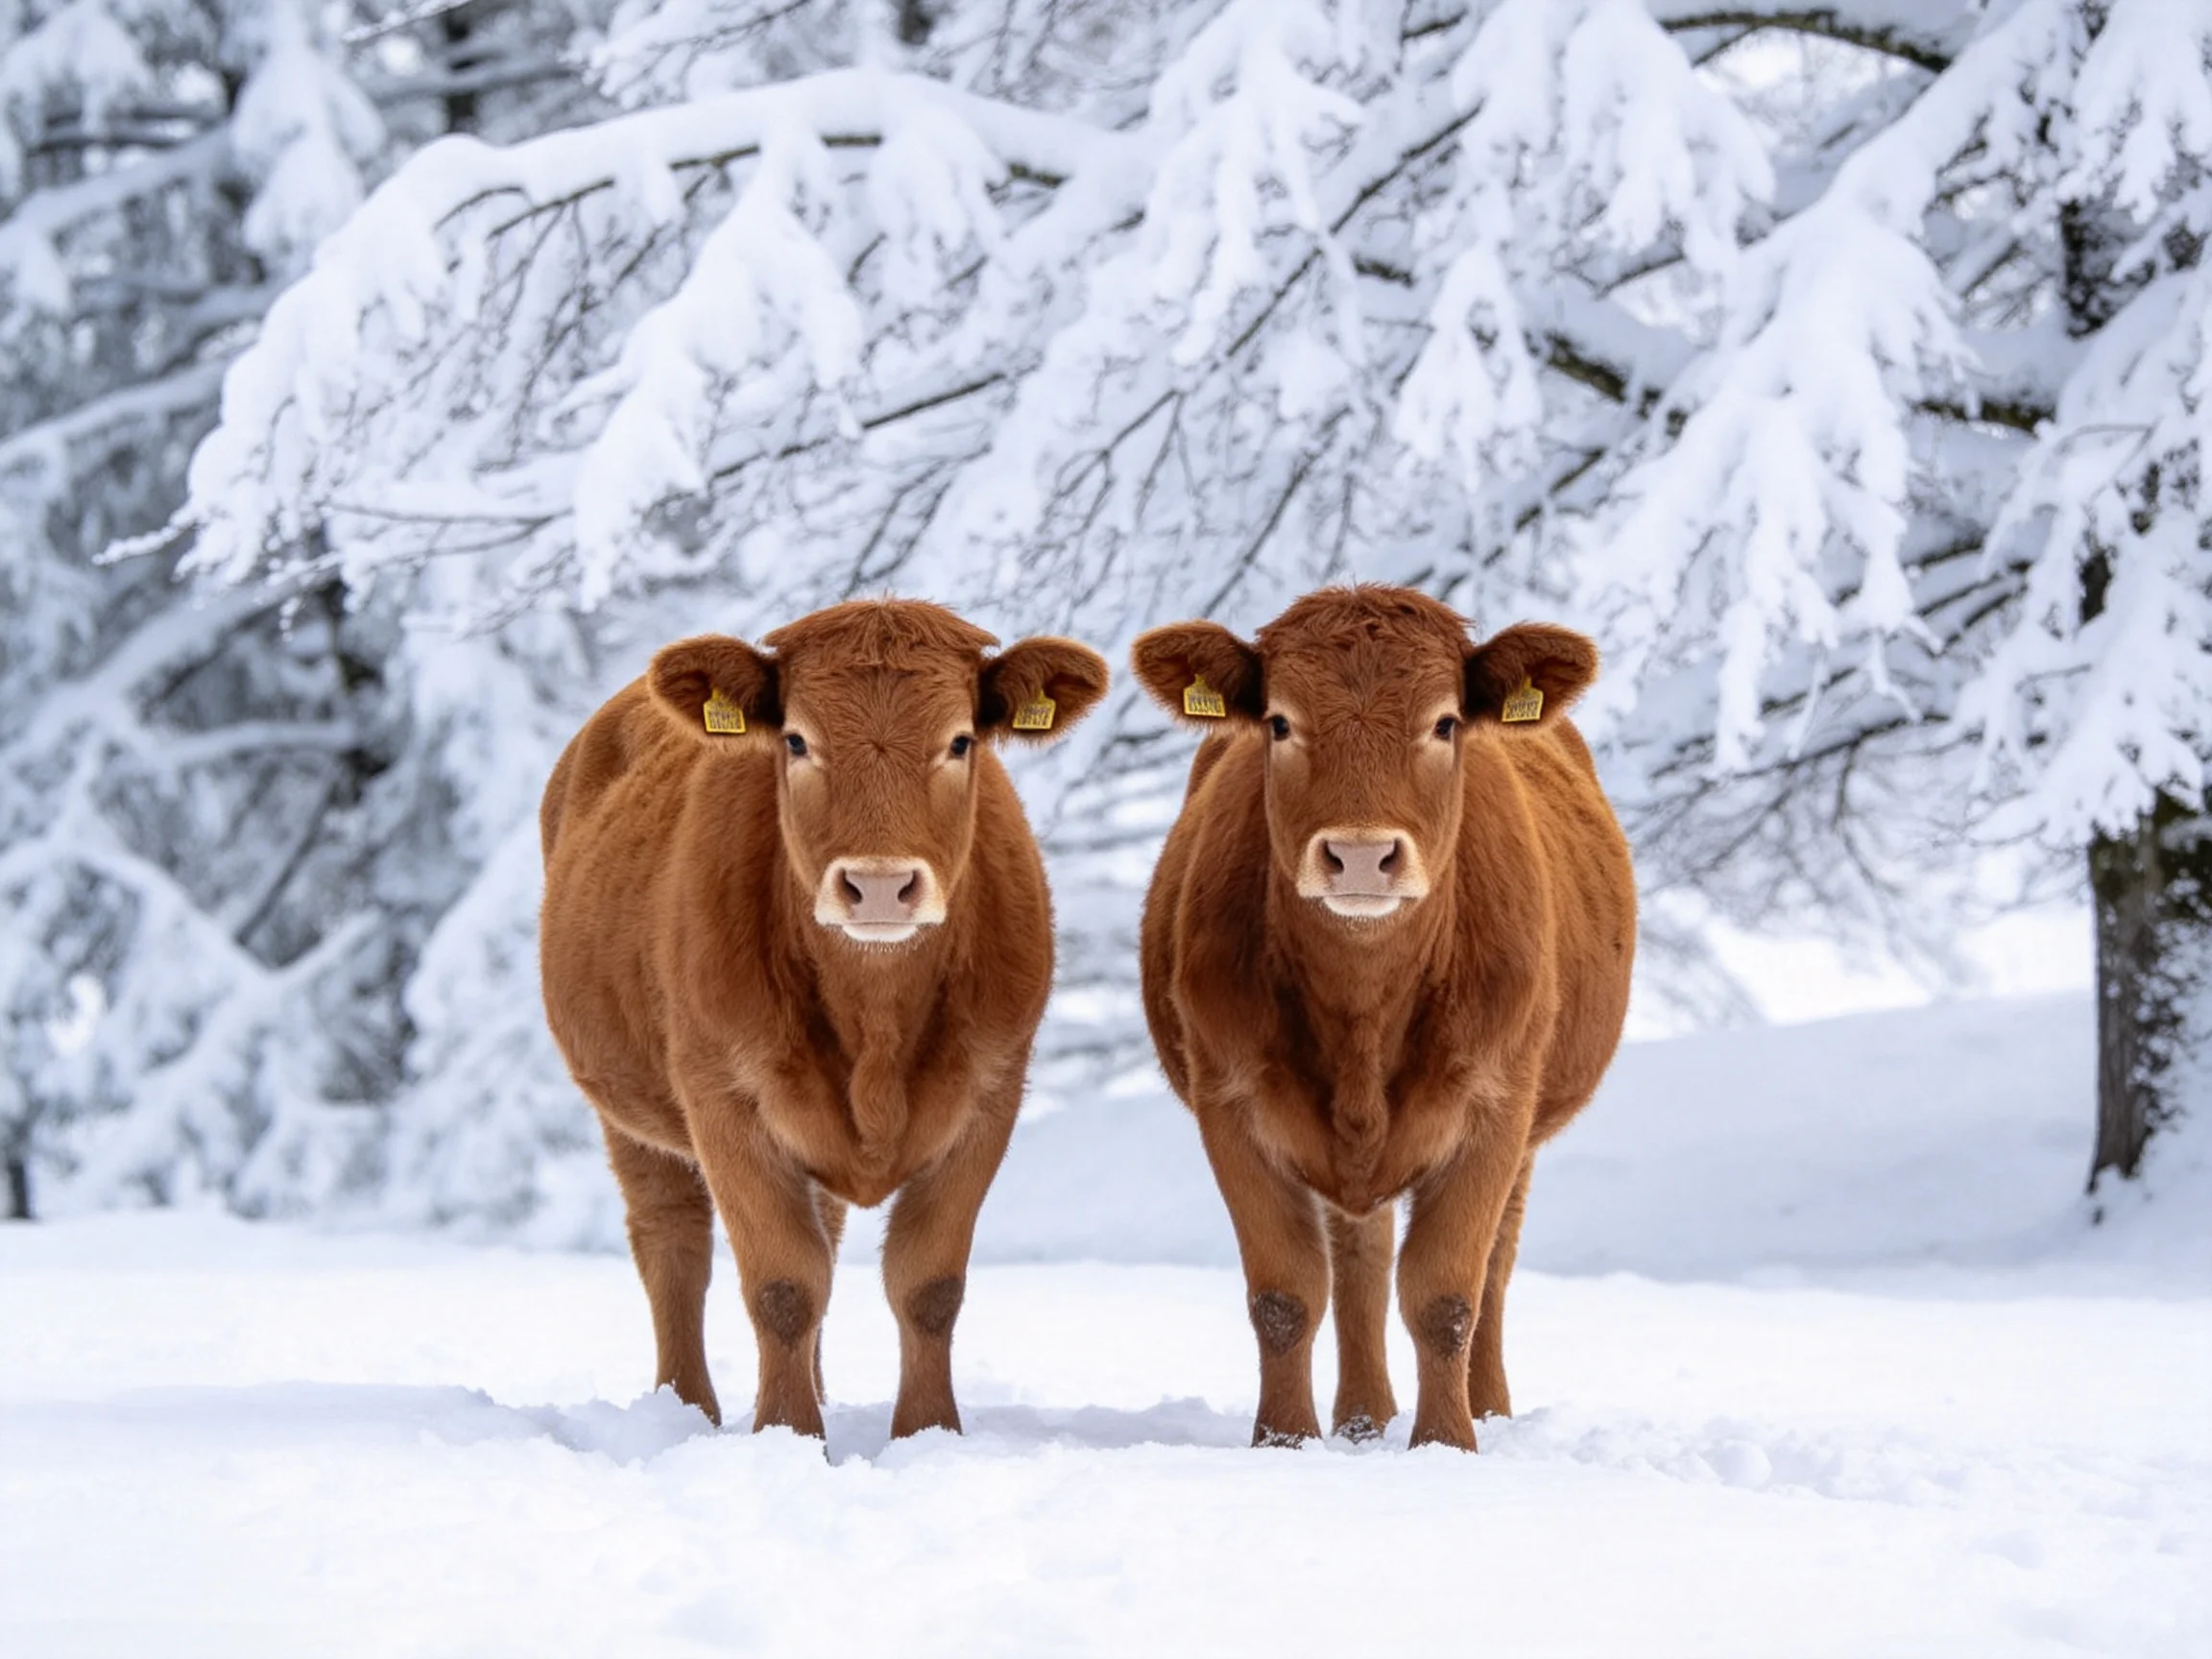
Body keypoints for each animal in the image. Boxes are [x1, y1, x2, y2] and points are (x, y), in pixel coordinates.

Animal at [539, 599, 1109, 1441]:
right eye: (799, 740)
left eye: (960, 740)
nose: (879, 885)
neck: (874, 1018)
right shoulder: (724, 1102)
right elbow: (783, 1285)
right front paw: (788, 1436)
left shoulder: (990, 1096)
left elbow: (927, 1285)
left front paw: (927, 1435)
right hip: (628, 1112)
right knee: (673, 1245)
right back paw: (685, 1408)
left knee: (826, 1237)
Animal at [1131, 585, 1635, 1450]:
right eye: (1280, 722)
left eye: (1445, 722)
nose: (1361, 855)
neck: (1365, 1010)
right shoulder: (1231, 1102)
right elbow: (1286, 1294)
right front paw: (1283, 1444)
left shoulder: (1494, 1107)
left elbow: (1446, 1296)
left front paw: (1448, 1445)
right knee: (1357, 1261)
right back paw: (1363, 1420)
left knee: (1494, 1270)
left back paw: (1488, 1410)